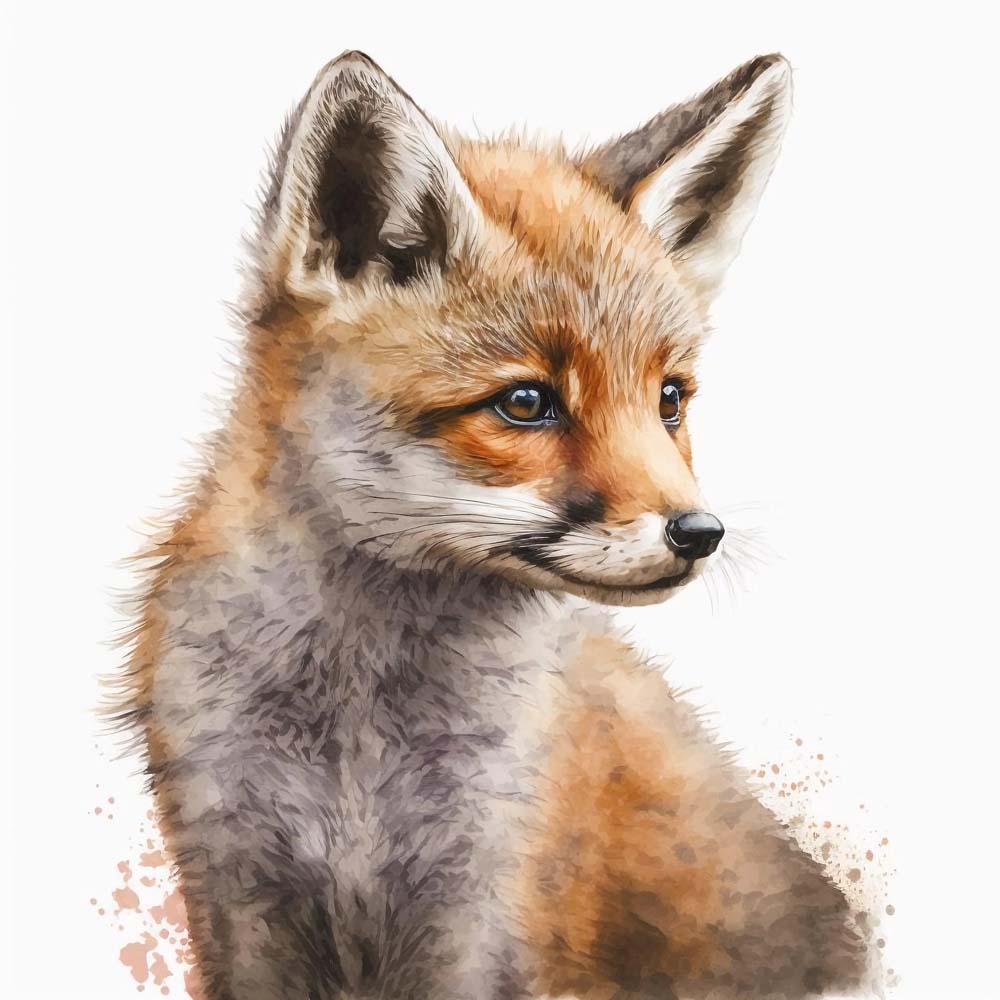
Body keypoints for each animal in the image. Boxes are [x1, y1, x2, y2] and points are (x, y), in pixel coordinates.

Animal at [115, 50, 872, 1000]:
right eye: (525, 403)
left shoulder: (486, 911)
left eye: (669, 399)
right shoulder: (239, 892)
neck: (358, 745)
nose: (699, 534)